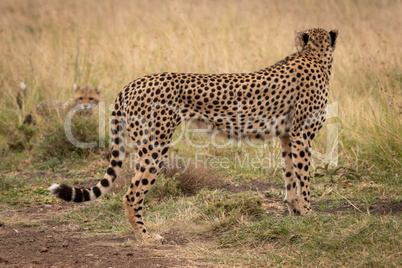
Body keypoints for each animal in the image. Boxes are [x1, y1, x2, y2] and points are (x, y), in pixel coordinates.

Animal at [50, 28, 340, 242]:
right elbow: (304, 177)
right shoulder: (302, 135)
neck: (314, 55)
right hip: (155, 147)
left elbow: (290, 177)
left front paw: (296, 212)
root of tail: (132, 83)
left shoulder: (287, 136)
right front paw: (310, 214)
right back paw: (146, 237)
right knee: (131, 195)